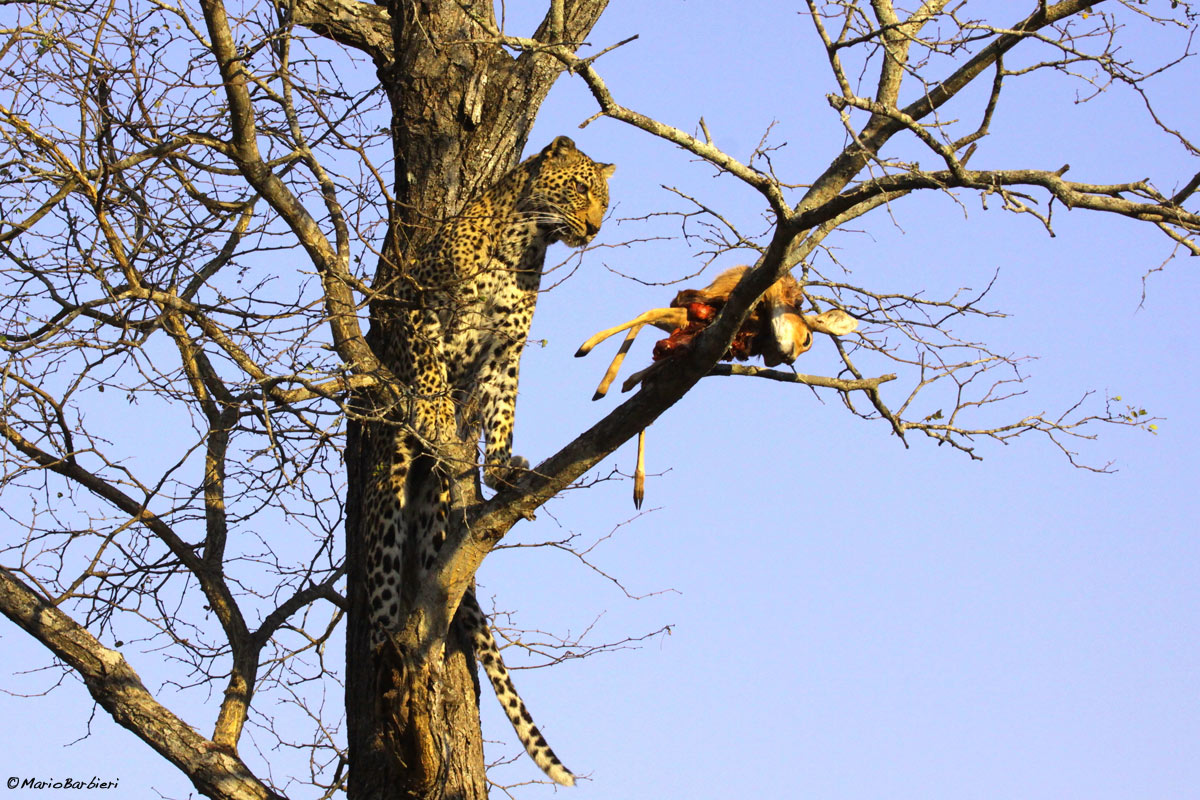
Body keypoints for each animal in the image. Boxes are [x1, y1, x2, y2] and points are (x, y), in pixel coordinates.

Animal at [363, 136, 615, 787]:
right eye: (580, 190)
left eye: (604, 200)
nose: (595, 228)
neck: (524, 239)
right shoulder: (419, 303)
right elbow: (429, 361)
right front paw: (433, 408)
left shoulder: (508, 345)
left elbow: (503, 407)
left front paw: (501, 469)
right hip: (387, 485)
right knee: (379, 583)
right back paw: (383, 652)